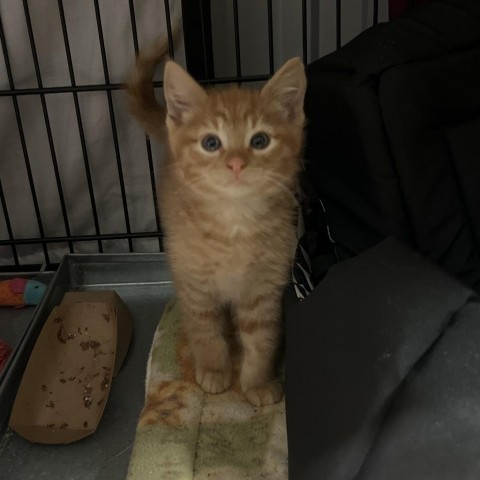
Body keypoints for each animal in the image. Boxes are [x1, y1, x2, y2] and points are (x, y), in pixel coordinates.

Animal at [127, 39, 306, 404]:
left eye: (260, 141)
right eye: (211, 143)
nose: (236, 163)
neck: (235, 223)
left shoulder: (264, 289)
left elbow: (262, 339)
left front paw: (257, 382)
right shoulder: (195, 283)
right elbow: (205, 330)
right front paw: (213, 369)